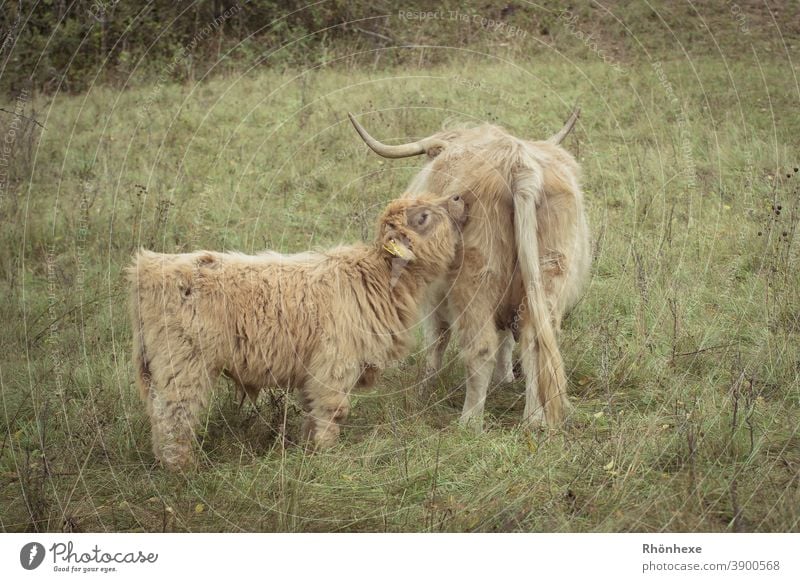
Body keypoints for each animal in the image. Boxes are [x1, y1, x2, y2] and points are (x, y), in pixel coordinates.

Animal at [128, 194, 466, 472]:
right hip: (183, 362)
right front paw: (327, 459)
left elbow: (312, 414)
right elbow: (332, 413)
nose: (458, 197)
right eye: (423, 217)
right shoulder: (335, 364)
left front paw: (307, 451)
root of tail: (148, 267)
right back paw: (182, 470)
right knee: (174, 415)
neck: (379, 277)